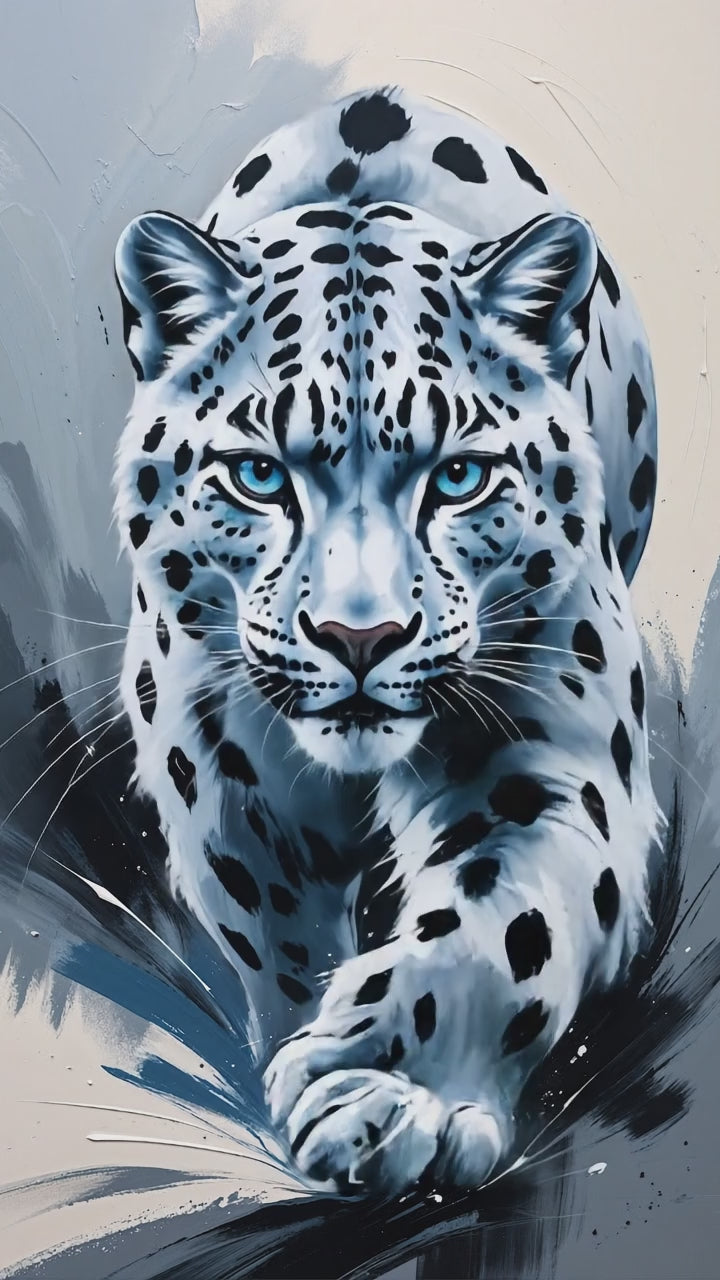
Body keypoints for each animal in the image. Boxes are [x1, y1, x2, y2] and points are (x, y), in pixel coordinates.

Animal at [112, 87, 662, 1196]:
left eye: (459, 475)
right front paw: (304, 1063)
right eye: (259, 473)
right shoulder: (224, 781)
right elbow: (275, 942)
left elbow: (503, 925)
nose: (357, 636)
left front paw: (391, 1095)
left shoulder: (550, 752)